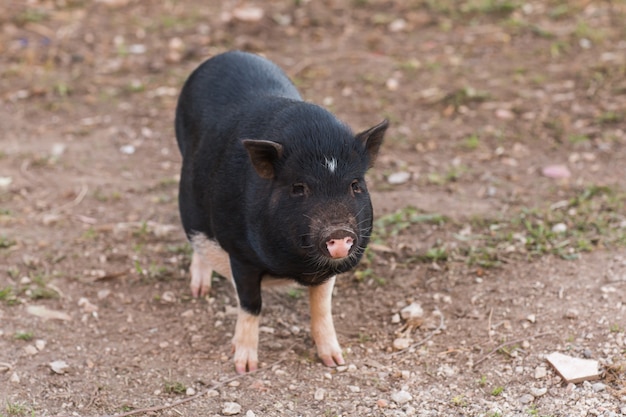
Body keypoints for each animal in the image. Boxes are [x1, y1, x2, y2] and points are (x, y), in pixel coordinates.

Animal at [172, 50, 386, 372]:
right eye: (298, 187)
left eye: (355, 185)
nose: (339, 232)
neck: (297, 267)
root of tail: (227, 54)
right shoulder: (241, 254)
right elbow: (250, 304)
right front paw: (244, 366)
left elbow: (322, 307)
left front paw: (335, 361)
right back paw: (200, 291)